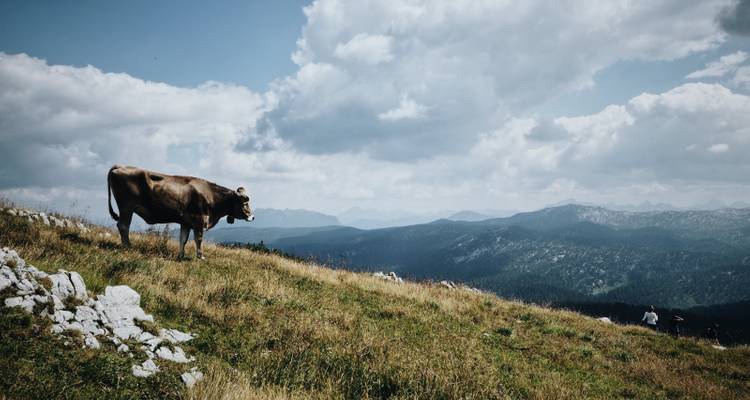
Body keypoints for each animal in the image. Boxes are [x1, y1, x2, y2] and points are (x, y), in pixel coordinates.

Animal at [107, 165, 254, 259]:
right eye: (245, 202)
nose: (252, 217)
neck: (212, 196)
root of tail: (120, 166)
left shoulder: (186, 223)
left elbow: (183, 239)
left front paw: (181, 256)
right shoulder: (199, 220)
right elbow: (198, 239)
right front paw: (200, 256)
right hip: (126, 206)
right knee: (123, 226)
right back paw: (128, 247)